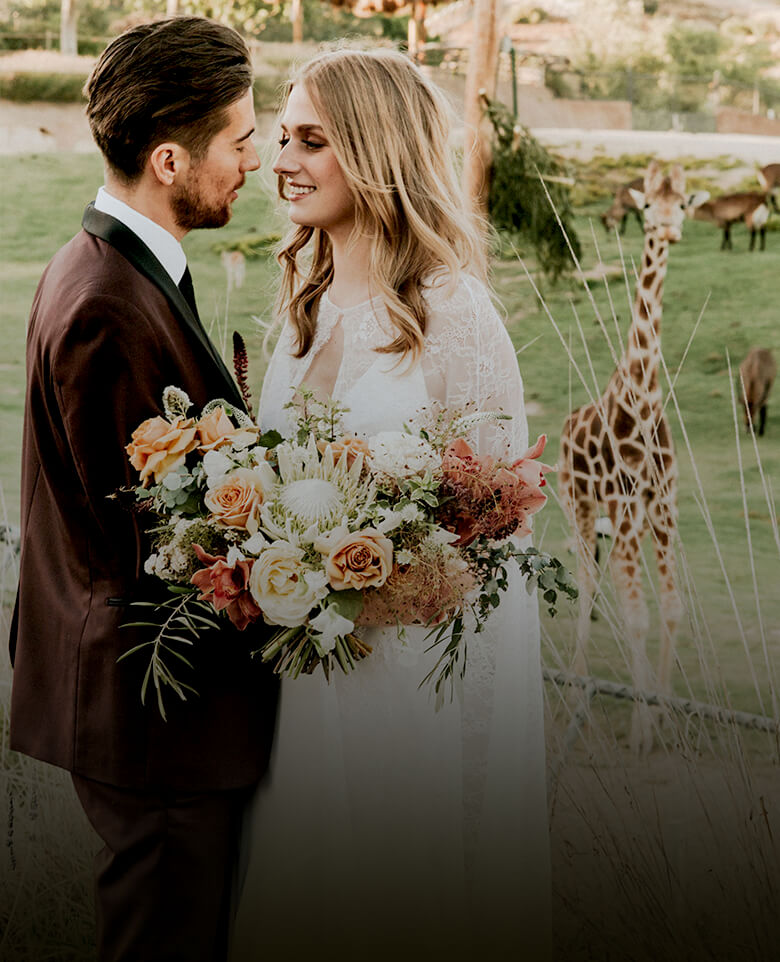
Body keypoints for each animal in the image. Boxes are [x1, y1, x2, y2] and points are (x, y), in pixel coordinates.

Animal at [560, 161, 708, 752]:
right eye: (647, 205)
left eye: (683, 204)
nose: (667, 229)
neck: (641, 401)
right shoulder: (623, 507)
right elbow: (637, 615)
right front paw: (645, 727)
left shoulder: (663, 506)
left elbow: (669, 610)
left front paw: (666, 714)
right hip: (576, 502)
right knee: (586, 583)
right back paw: (577, 693)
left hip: (632, 519)